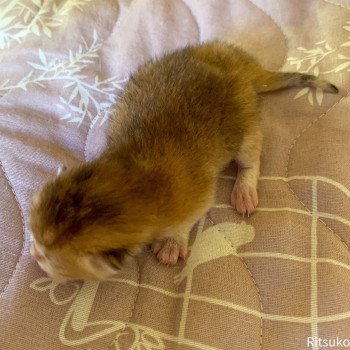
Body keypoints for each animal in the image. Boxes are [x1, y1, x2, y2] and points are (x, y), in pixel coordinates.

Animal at [30, 41, 340, 282]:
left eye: (46, 258)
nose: (33, 252)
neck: (134, 178)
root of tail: (243, 67)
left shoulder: (193, 198)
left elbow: (190, 218)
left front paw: (171, 244)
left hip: (246, 121)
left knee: (251, 155)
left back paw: (244, 190)